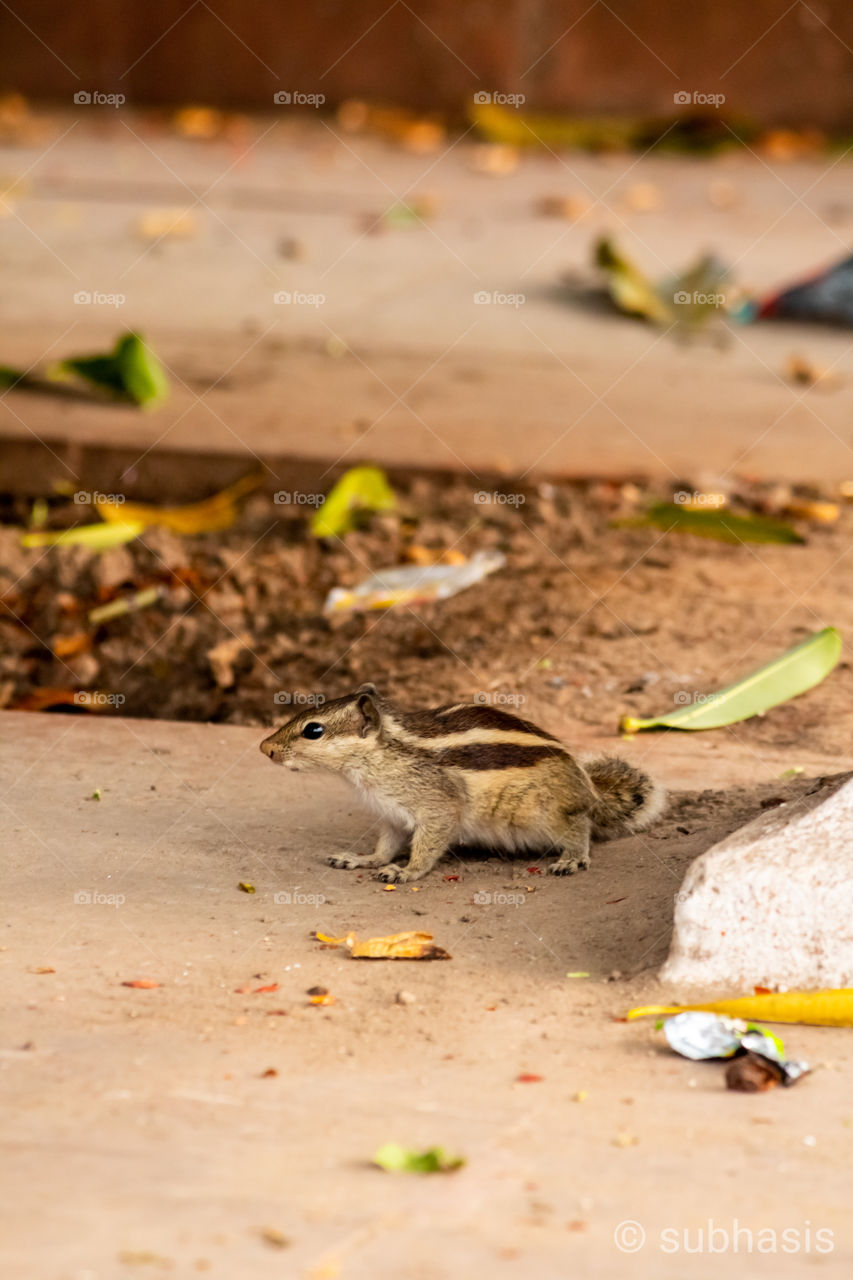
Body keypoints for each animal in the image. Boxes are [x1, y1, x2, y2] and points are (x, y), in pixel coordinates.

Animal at [260, 684, 665, 883]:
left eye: (313, 730)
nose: (265, 748)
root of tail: (590, 791)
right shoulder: (392, 815)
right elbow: (385, 846)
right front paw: (362, 859)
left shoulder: (437, 807)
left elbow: (427, 845)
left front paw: (406, 871)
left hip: (548, 813)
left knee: (579, 828)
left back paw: (571, 859)